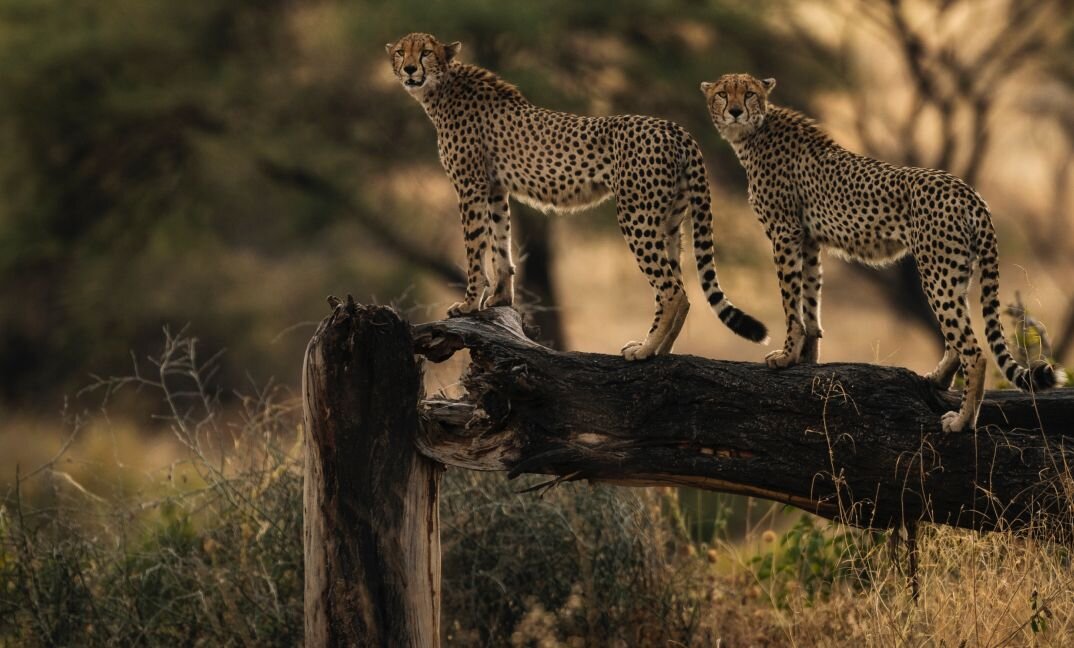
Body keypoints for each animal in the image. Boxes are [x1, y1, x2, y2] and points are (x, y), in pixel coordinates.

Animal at [390, 32, 768, 361]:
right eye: (400, 53)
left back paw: (645, 350)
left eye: (425, 52)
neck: (441, 88)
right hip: (670, 220)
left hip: (636, 215)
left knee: (672, 289)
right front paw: (499, 299)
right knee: (679, 289)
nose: (409, 69)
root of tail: (675, 128)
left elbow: (474, 247)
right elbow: (500, 243)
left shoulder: (470, 185)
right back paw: (658, 350)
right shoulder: (495, 188)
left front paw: (469, 303)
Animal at [700, 73, 1061, 434]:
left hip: (937, 272)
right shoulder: (809, 241)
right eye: (722, 94)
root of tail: (966, 190)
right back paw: (938, 380)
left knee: (974, 350)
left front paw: (787, 357)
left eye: (748, 94)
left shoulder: (785, 233)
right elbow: (810, 302)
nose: (735, 111)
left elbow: (791, 303)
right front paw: (807, 360)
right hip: (956, 269)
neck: (754, 133)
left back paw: (962, 421)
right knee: (957, 338)